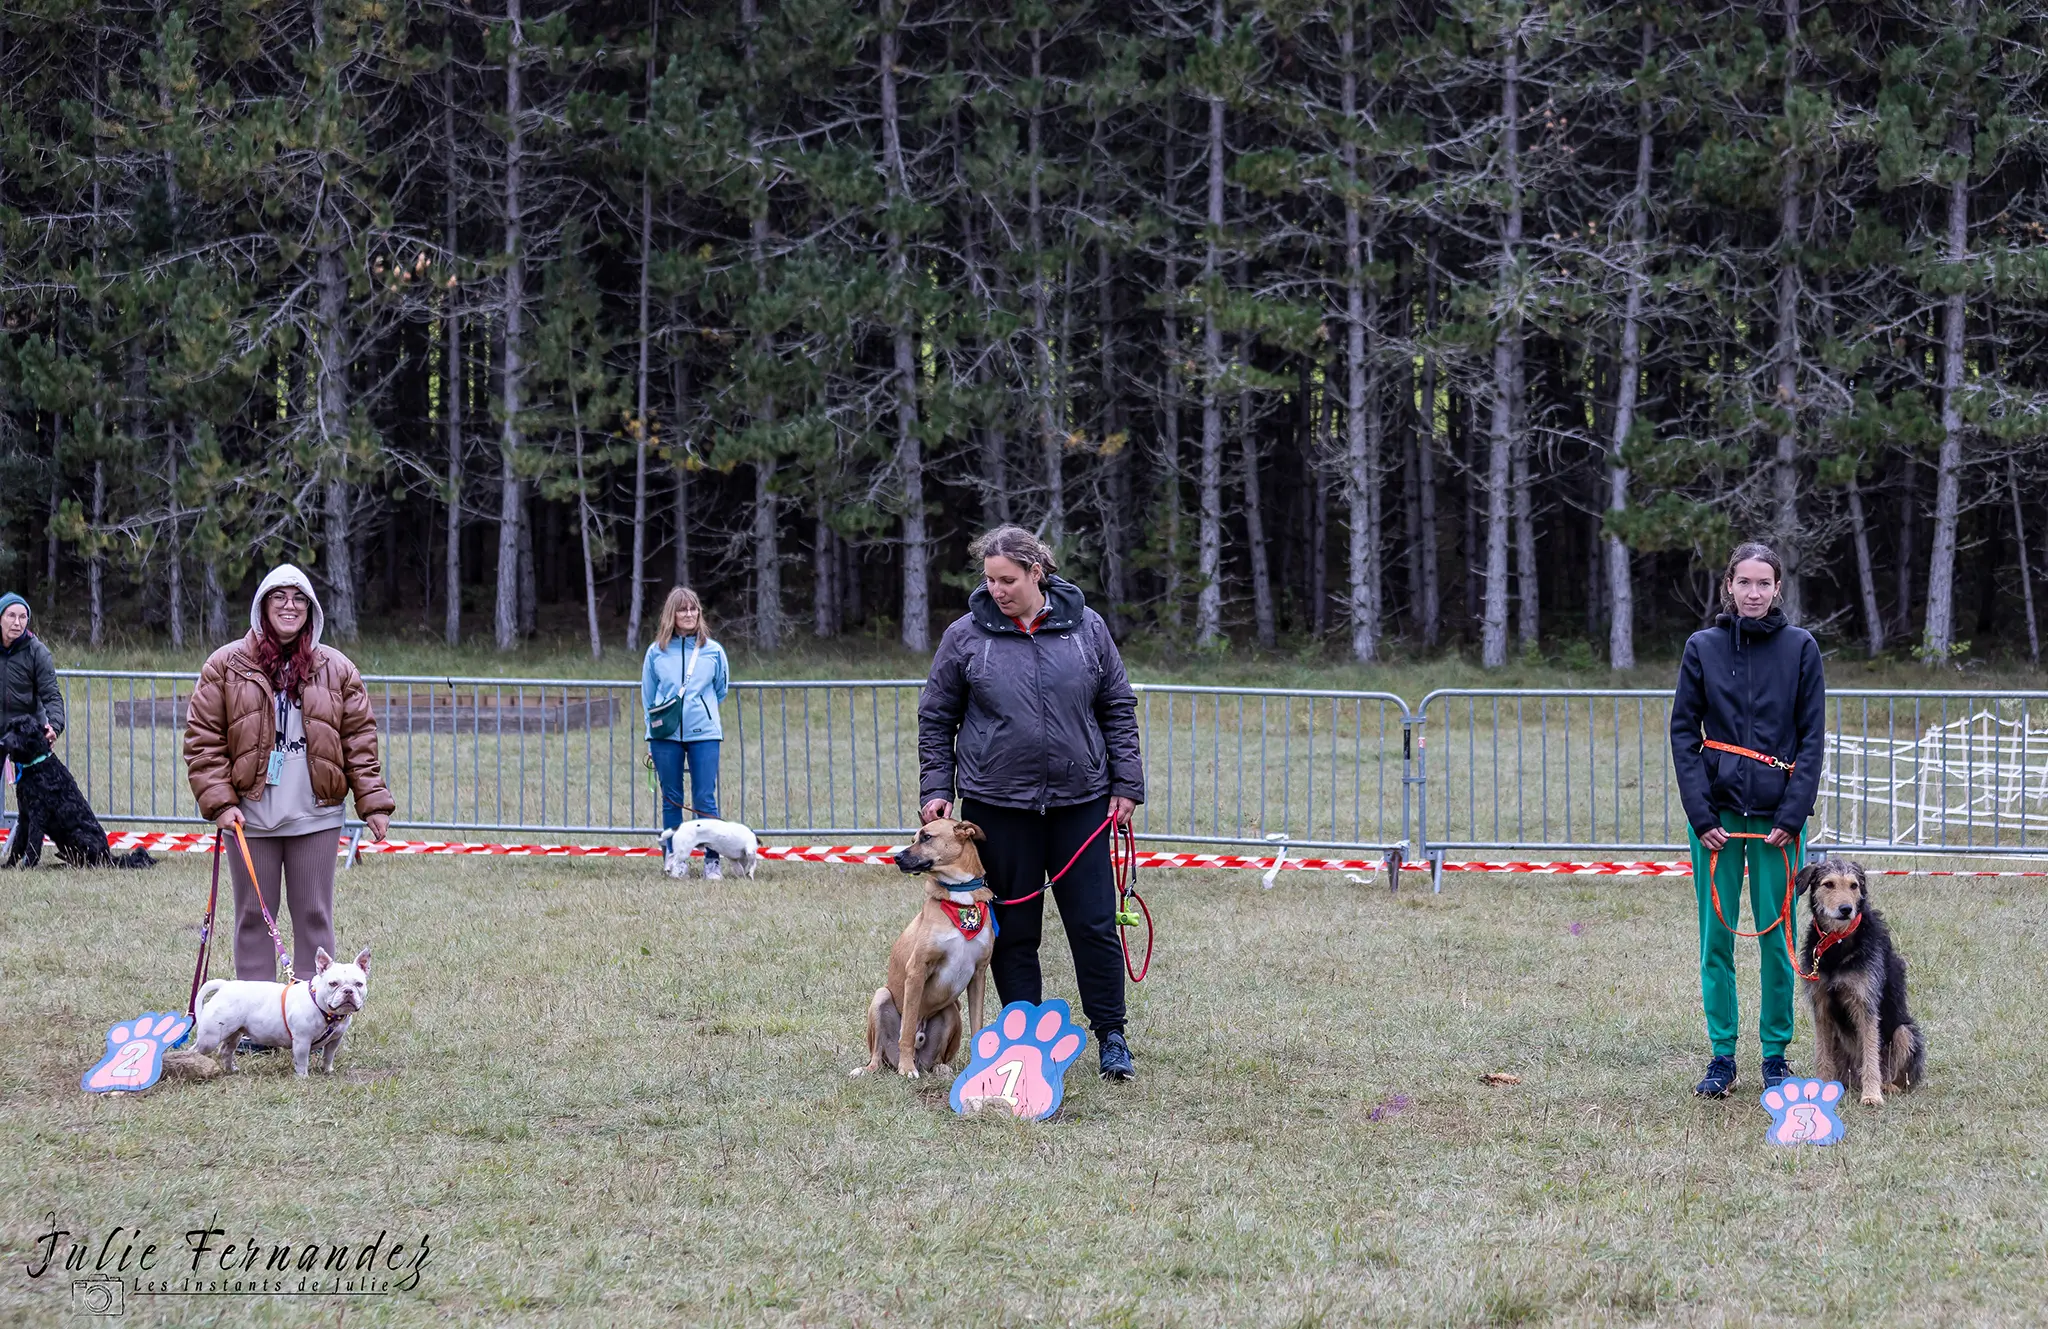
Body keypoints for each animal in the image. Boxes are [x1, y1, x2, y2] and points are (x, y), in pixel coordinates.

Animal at [0, 716, 152, 872]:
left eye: (20, 730)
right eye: (9, 728)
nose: (1, 742)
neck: (37, 765)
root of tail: (108, 857)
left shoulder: (37, 816)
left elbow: (32, 845)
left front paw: (27, 866)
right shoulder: (24, 816)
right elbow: (18, 844)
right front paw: (9, 865)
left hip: (78, 835)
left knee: (90, 863)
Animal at [192, 941, 368, 1081]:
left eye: (359, 984)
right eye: (333, 983)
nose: (348, 991)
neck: (327, 1012)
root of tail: (224, 986)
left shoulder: (334, 1040)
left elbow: (328, 1056)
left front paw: (327, 1071)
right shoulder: (302, 1041)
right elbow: (302, 1061)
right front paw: (303, 1078)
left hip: (233, 1033)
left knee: (226, 1051)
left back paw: (231, 1070)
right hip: (210, 1038)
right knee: (197, 1050)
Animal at [847, 819, 999, 1081]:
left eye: (927, 837)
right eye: (913, 839)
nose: (896, 857)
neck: (960, 897)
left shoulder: (979, 974)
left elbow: (978, 1026)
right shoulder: (917, 970)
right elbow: (907, 1029)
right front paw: (907, 1068)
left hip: (950, 1010)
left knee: (938, 1057)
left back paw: (941, 1068)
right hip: (881, 997)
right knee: (877, 1055)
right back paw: (871, 1069)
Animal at [1802, 855, 1925, 1105]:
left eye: (1854, 886)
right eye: (1828, 884)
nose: (1846, 909)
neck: (1837, 945)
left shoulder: (1865, 1003)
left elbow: (1870, 1052)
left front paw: (1871, 1095)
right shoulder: (1821, 1005)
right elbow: (1822, 1055)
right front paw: (1819, 1088)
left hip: (1905, 1032)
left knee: (1899, 1075)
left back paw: (1887, 1086)